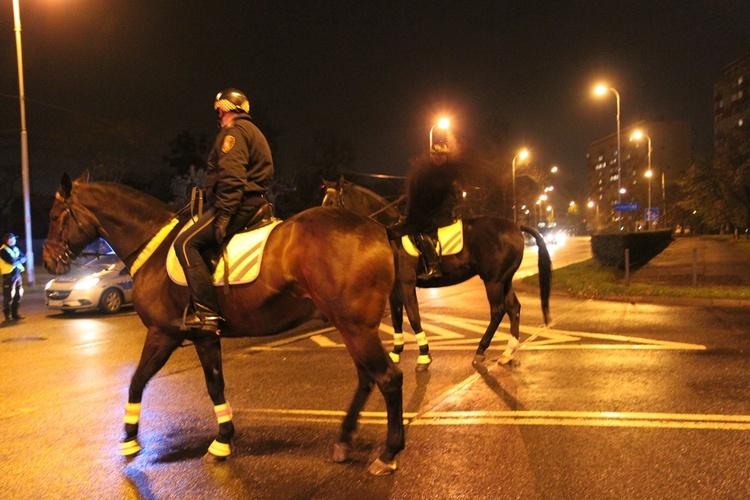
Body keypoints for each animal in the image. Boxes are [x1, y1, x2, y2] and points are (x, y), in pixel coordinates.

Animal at [41, 174, 406, 474]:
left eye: (55, 216)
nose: (47, 260)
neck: (153, 250)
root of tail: (378, 229)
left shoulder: (163, 334)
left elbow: (137, 381)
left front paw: (130, 438)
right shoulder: (204, 335)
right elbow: (215, 384)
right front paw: (223, 441)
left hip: (356, 328)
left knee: (388, 378)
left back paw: (388, 454)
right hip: (350, 327)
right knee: (367, 378)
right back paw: (344, 439)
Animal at [324, 178, 552, 370]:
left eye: (332, 202)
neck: (390, 236)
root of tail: (516, 225)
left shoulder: (406, 284)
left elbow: (414, 318)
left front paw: (424, 356)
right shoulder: (394, 289)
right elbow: (397, 319)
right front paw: (396, 353)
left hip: (493, 281)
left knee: (498, 311)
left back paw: (480, 351)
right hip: (505, 280)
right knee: (514, 308)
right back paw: (508, 353)